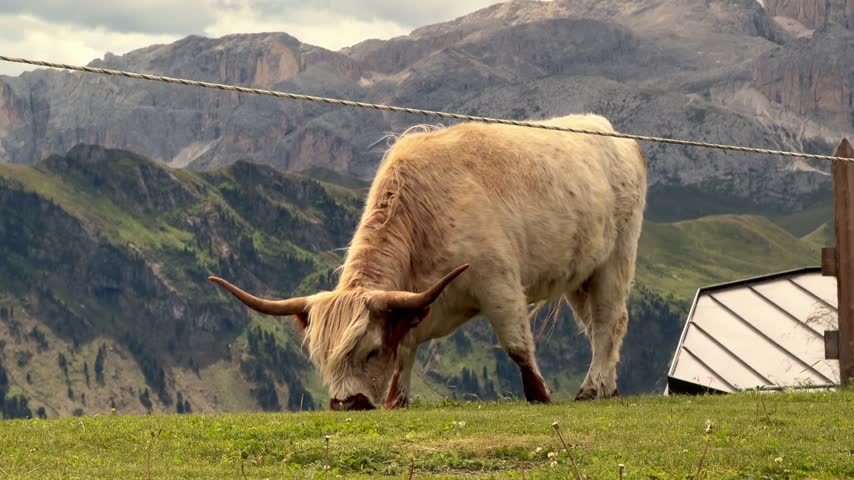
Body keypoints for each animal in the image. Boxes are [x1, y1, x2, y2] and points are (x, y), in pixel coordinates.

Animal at [208, 113, 647, 411]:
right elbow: (405, 353)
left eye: (370, 351)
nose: (346, 403)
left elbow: (517, 345)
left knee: (610, 321)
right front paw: (396, 400)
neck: (425, 214)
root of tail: (612, 133)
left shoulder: (499, 283)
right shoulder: (410, 302)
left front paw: (539, 396)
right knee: (599, 328)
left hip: (616, 258)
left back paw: (590, 389)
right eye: (319, 357)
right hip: (582, 273)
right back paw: (607, 386)